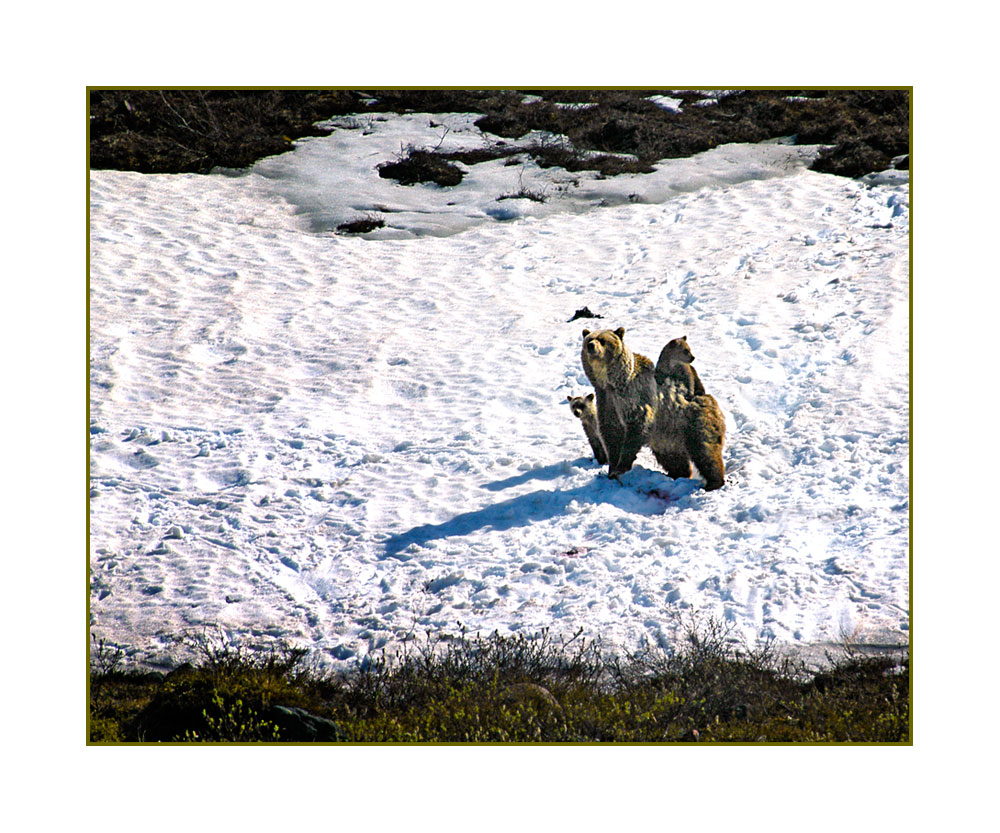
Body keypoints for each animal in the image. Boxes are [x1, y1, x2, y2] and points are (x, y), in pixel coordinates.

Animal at [580, 328, 728, 490]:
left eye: (602, 340)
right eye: (589, 340)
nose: (591, 346)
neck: (612, 383)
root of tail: (708, 398)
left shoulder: (634, 397)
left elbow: (636, 426)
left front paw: (621, 466)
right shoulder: (607, 401)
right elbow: (611, 433)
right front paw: (612, 469)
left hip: (693, 421)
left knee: (705, 452)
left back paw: (713, 482)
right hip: (668, 435)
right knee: (673, 459)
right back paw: (676, 474)